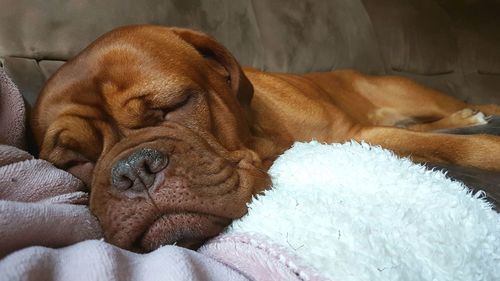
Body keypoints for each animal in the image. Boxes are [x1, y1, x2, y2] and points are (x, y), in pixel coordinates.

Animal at [32, 25, 500, 250]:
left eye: (173, 105)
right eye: (72, 161)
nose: (135, 170)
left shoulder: (355, 134)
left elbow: (456, 145)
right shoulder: (364, 135)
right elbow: (438, 141)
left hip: (410, 92)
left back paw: (475, 111)